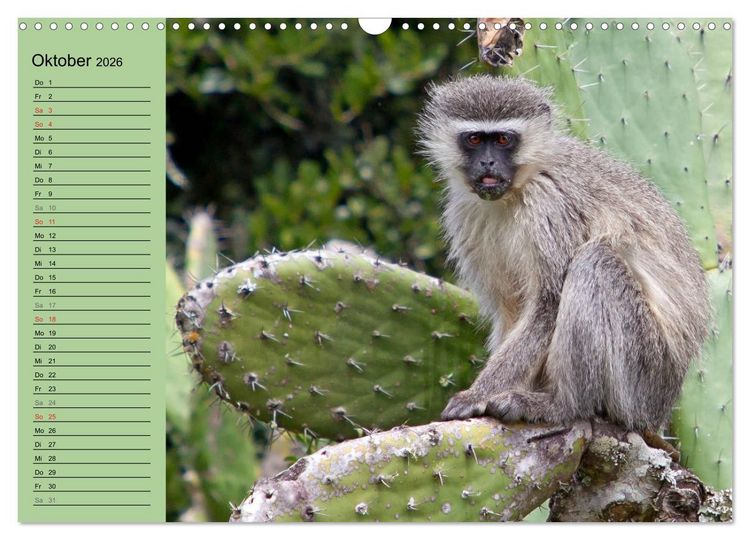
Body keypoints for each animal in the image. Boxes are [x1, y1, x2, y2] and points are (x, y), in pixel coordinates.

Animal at [416, 75, 710, 432]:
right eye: (474, 139)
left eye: (502, 139)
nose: (487, 162)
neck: (515, 193)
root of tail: (661, 411)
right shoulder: (465, 213)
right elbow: (511, 310)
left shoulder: (549, 205)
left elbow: (548, 305)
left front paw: (477, 395)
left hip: (644, 375)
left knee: (595, 262)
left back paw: (563, 405)